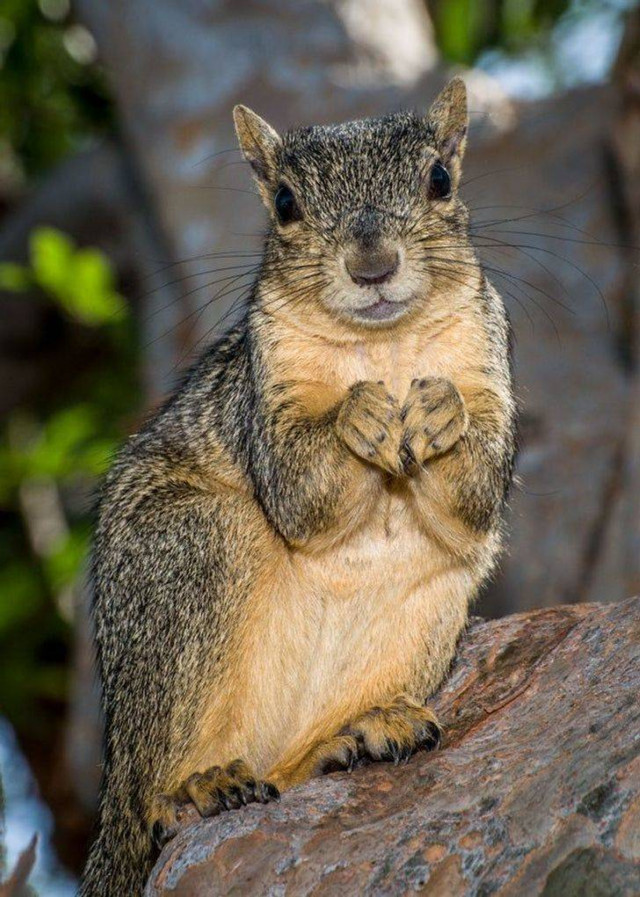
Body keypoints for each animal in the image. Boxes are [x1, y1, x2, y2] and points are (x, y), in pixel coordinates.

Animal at [80, 79, 516, 896]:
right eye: (284, 203)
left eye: (440, 180)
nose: (372, 265)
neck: (385, 346)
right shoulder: (264, 386)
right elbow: (297, 493)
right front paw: (356, 414)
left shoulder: (487, 352)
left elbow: (475, 494)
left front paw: (442, 413)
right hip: (190, 553)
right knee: (152, 796)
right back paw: (192, 792)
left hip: (431, 609)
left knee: (284, 774)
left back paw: (357, 734)